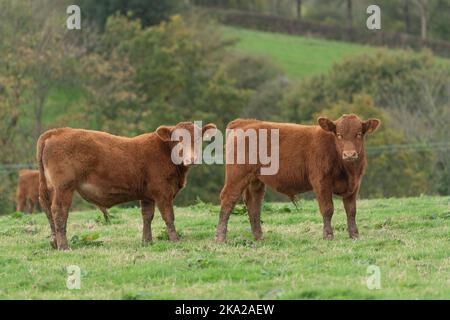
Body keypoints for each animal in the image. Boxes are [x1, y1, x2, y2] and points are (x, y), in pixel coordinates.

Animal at [37, 122, 216, 250]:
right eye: (178, 139)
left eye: (198, 139)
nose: (192, 158)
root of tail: (57, 131)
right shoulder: (163, 192)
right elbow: (168, 216)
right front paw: (175, 240)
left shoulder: (147, 195)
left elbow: (147, 217)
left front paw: (147, 242)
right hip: (64, 187)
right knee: (59, 211)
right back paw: (64, 246)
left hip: (50, 188)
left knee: (47, 209)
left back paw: (54, 242)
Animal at [214, 114, 380, 241]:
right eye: (339, 135)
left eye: (359, 134)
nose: (350, 154)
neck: (347, 170)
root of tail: (245, 122)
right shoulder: (321, 182)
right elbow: (327, 209)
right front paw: (328, 235)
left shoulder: (354, 185)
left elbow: (351, 211)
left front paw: (354, 235)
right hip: (237, 176)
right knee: (228, 199)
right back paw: (220, 238)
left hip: (255, 180)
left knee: (254, 204)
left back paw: (259, 237)